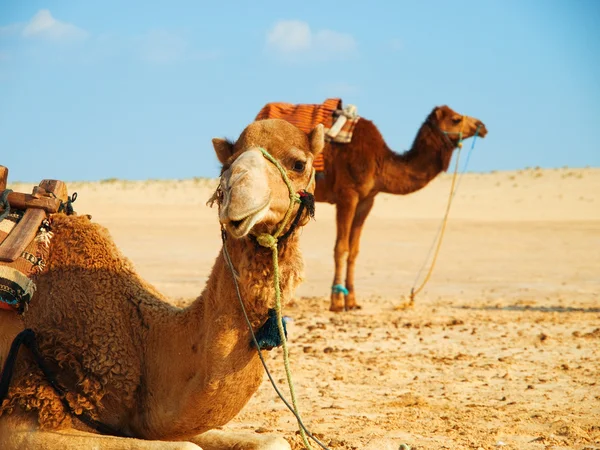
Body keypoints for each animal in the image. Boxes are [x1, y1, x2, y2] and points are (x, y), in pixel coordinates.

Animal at [0, 118, 326, 450]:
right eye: (227, 166)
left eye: (299, 164)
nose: (237, 193)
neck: (143, 340)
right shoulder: (25, 413)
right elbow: (188, 446)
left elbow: (273, 440)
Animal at [314, 104, 488, 312]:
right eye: (456, 119)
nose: (482, 126)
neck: (380, 160)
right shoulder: (347, 194)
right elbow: (341, 247)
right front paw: (337, 303)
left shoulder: (367, 199)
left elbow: (354, 250)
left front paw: (353, 302)